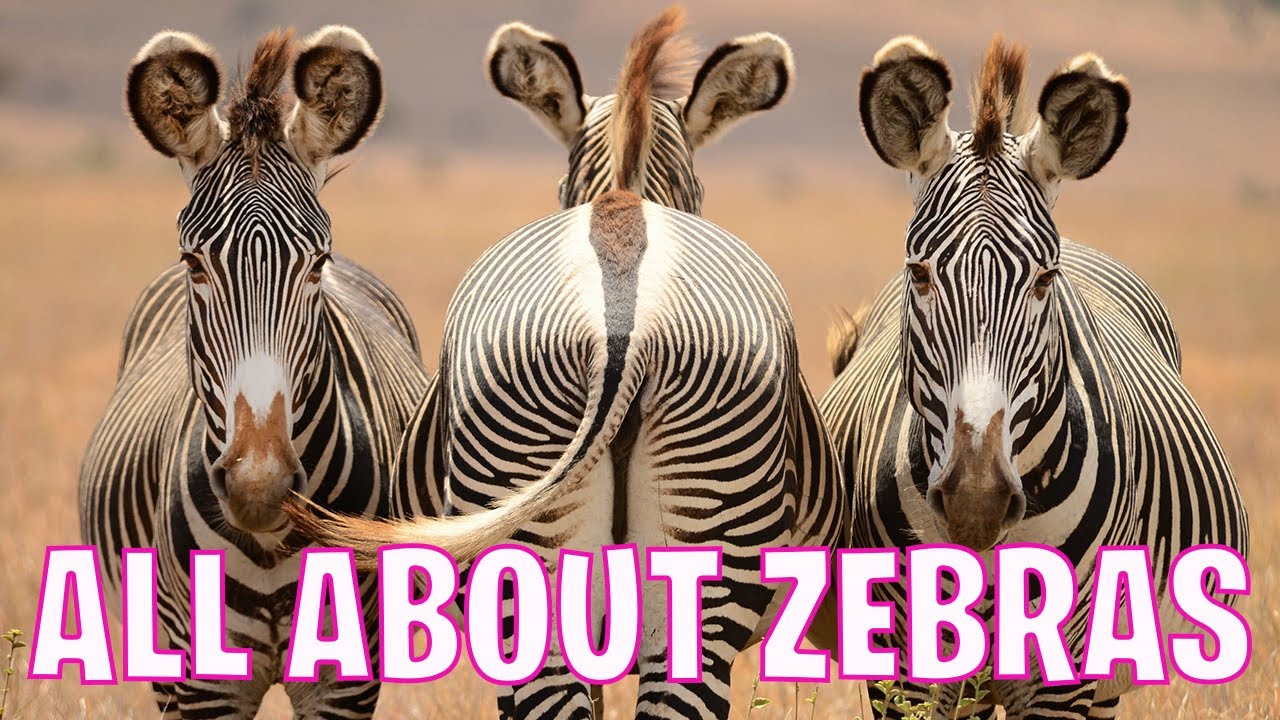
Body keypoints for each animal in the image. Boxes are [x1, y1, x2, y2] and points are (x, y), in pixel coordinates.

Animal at [78, 27, 428, 718]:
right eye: (194, 264)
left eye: (317, 265)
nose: (258, 485)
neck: (269, 545)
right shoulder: (203, 682)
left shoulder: (345, 679)